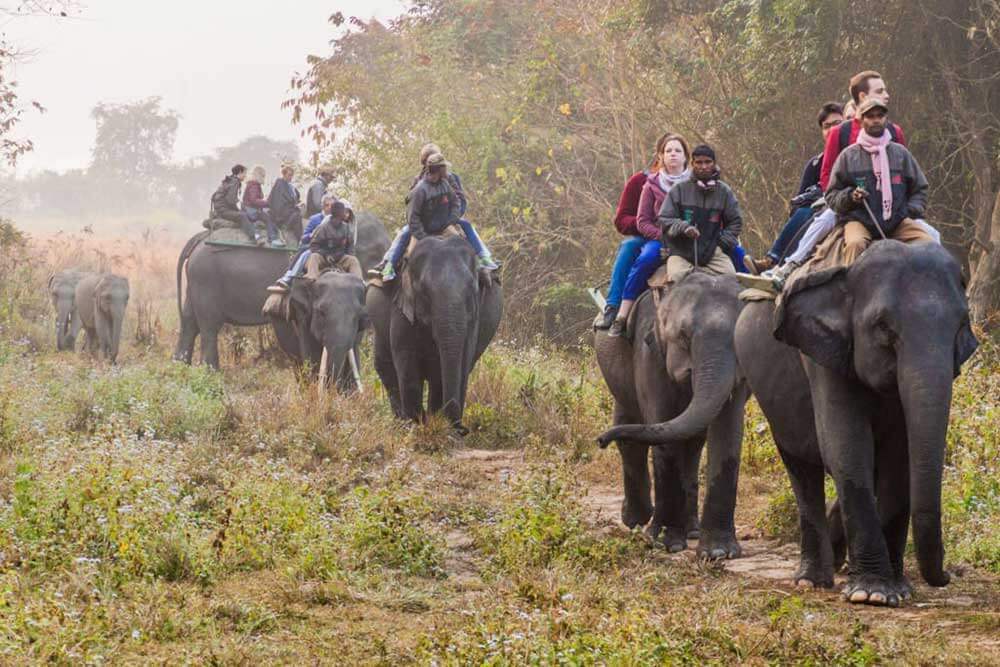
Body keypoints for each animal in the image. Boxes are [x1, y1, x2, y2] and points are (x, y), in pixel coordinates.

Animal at [174, 211, 389, 368]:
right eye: (376, 253)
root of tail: (199, 238)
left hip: (197, 281)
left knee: (189, 322)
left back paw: (181, 367)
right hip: (206, 279)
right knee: (209, 326)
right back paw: (211, 372)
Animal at [367, 234, 502, 431]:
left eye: (472, 290)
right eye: (424, 291)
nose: (463, 429)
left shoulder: (475, 315)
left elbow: (457, 362)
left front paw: (436, 424)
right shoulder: (401, 305)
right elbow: (407, 363)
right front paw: (417, 426)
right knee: (385, 366)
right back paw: (402, 423)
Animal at [594, 271, 750, 559]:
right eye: (684, 336)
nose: (600, 440)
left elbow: (726, 434)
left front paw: (719, 552)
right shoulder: (648, 350)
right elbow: (662, 426)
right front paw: (666, 544)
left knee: (693, 444)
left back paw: (691, 530)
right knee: (630, 430)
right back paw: (636, 519)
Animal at [746, 240, 978, 607]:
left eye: (962, 325)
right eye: (884, 327)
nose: (947, 576)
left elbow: (899, 457)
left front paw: (897, 588)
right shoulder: (822, 355)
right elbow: (848, 446)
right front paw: (872, 594)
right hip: (774, 404)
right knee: (803, 472)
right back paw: (812, 580)